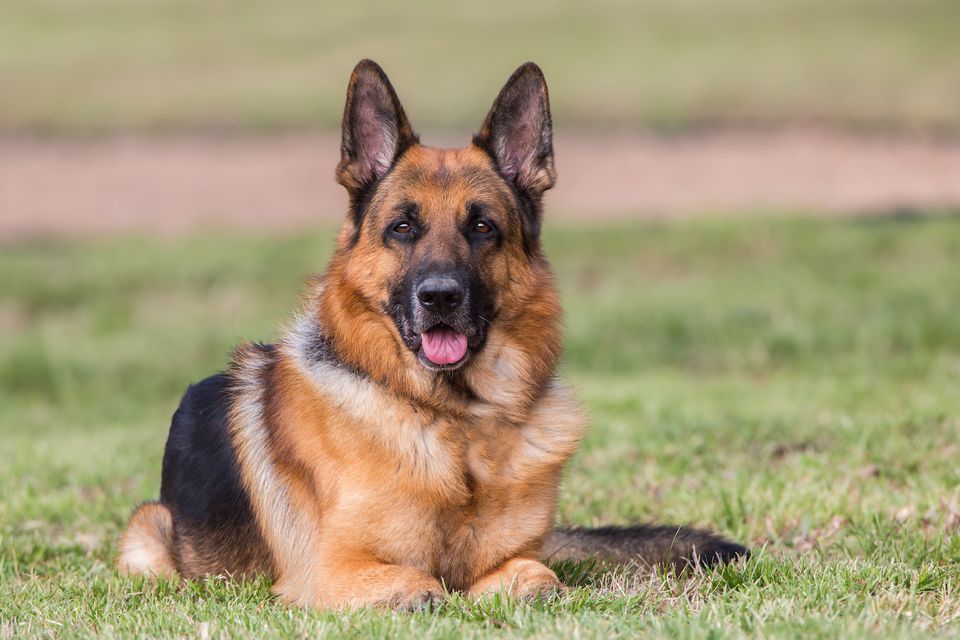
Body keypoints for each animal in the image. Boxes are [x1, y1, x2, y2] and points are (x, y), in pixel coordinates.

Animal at [118, 60, 752, 608]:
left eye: (483, 227)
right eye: (402, 227)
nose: (441, 297)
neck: (456, 421)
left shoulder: (523, 558)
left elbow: (538, 575)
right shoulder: (332, 571)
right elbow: (421, 584)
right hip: (145, 538)